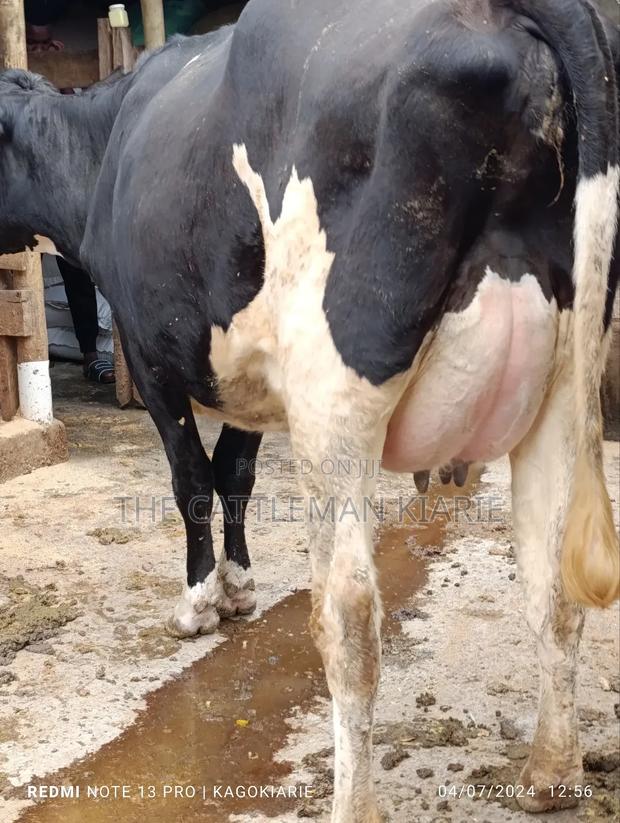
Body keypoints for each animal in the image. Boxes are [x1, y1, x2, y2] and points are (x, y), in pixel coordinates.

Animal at [0, 1, 619, 820]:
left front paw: (199, 603)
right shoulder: (251, 377)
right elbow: (235, 473)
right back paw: (550, 773)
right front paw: (239, 587)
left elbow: (191, 480)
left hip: (336, 396)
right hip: (562, 383)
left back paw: (355, 802)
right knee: (553, 585)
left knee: (350, 618)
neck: (106, 146)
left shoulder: (150, 351)